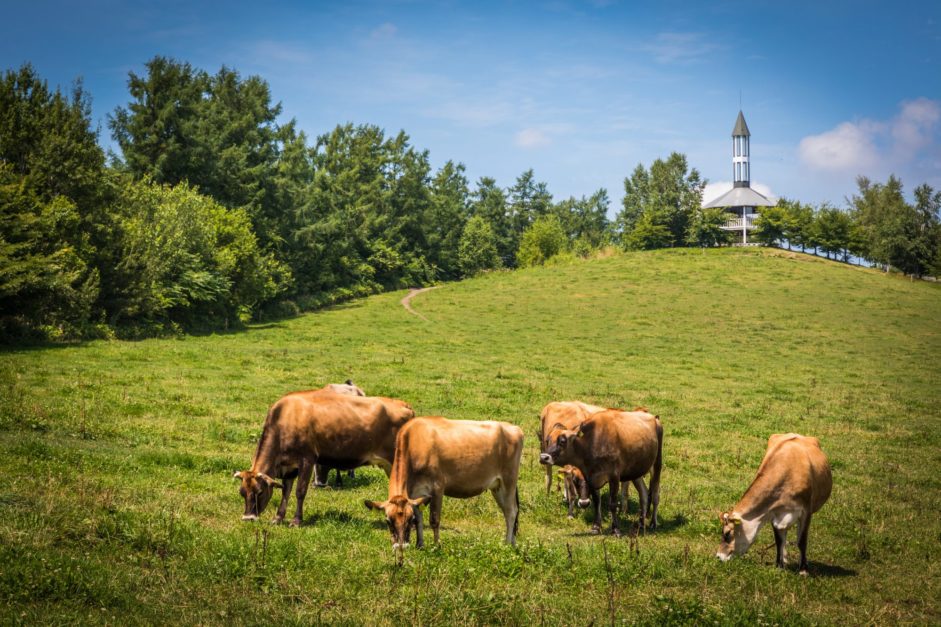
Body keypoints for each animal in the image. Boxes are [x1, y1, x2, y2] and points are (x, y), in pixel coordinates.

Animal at [234, 394, 412, 528]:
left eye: (260, 491)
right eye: (242, 492)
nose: (248, 518)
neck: (284, 420)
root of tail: (404, 404)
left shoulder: (307, 459)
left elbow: (300, 491)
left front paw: (296, 521)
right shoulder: (289, 467)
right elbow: (286, 491)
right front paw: (278, 518)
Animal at [366, 418, 524, 564]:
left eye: (409, 520)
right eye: (388, 521)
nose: (401, 546)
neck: (414, 444)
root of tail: (513, 427)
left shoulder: (437, 487)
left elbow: (434, 520)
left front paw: (436, 546)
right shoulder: (416, 494)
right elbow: (420, 519)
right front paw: (420, 544)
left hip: (509, 480)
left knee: (511, 512)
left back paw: (507, 544)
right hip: (497, 487)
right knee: (508, 512)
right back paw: (513, 543)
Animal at [712, 434, 828, 576]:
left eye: (727, 533)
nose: (718, 556)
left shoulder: (806, 511)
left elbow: (801, 541)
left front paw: (803, 570)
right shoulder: (774, 512)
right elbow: (779, 541)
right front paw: (779, 565)